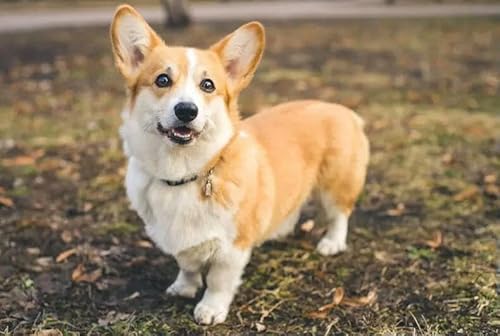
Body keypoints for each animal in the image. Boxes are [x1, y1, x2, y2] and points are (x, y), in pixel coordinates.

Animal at [110, 4, 368, 326]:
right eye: (162, 80)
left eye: (208, 85)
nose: (186, 110)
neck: (184, 172)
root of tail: (344, 110)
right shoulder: (181, 242)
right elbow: (187, 265)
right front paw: (184, 287)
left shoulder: (231, 249)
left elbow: (219, 281)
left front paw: (210, 309)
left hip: (335, 185)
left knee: (339, 215)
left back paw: (332, 243)